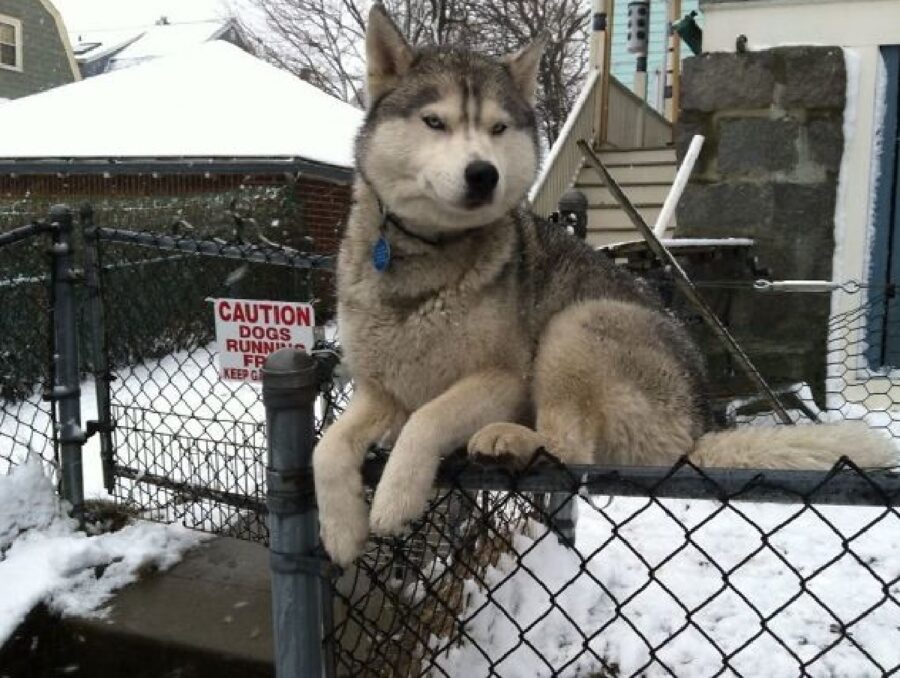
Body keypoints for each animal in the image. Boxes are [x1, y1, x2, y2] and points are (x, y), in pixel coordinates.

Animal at [312, 5, 896, 568]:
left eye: (498, 129)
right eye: (434, 121)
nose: (483, 174)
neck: (422, 254)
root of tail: (696, 428)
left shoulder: (504, 380)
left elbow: (427, 418)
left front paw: (395, 498)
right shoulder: (380, 390)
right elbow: (326, 447)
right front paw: (339, 531)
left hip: (579, 324)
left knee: (573, 451)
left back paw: (512, 440)